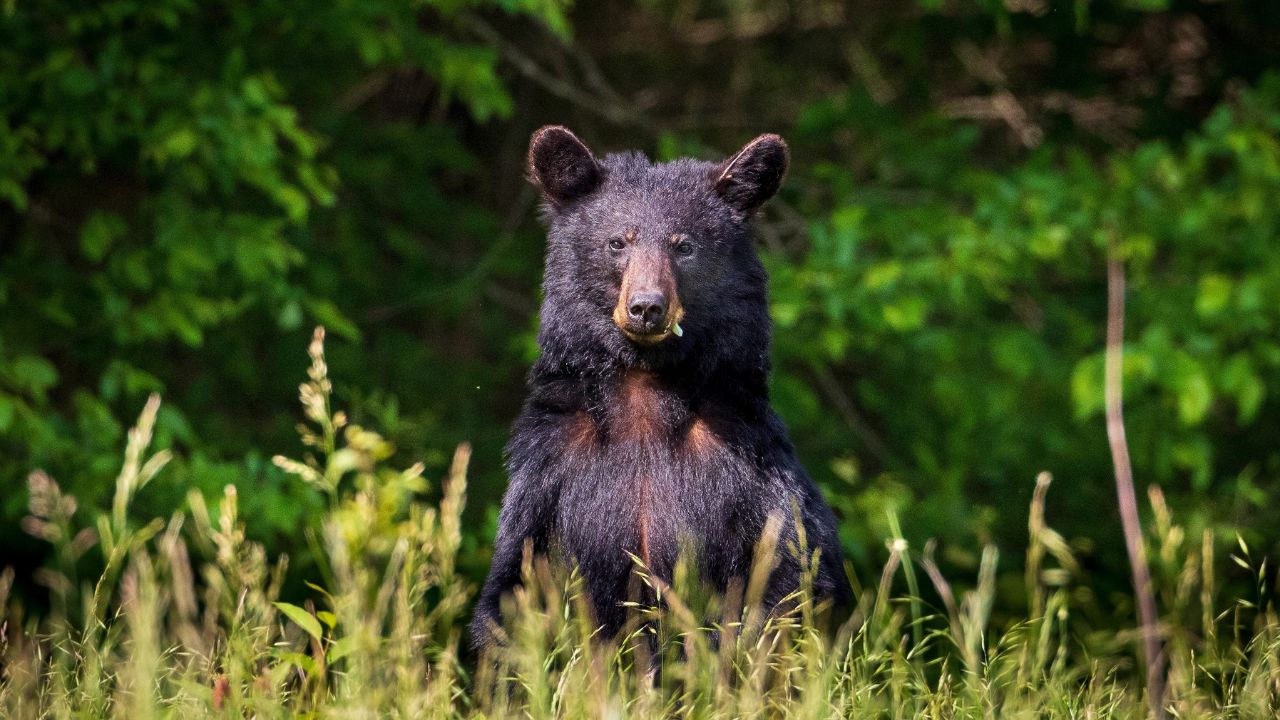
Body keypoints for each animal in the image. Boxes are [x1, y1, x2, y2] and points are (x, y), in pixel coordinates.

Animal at [470, 126, 850, 650]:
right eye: (617, 242)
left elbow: (790, 577)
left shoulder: (748, 464)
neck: (645, 393)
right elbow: (516, 591)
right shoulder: (550, 472)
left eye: (684, 246)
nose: (646, 307)